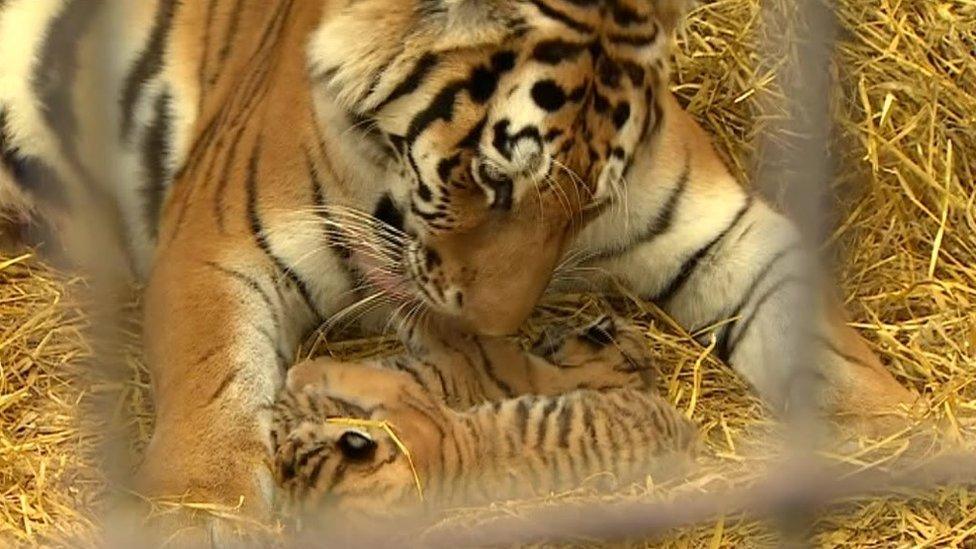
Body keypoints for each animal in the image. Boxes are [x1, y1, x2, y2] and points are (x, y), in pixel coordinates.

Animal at [0, 0, 916, 524]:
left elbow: (830, 351)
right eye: (491, 178)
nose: (495, 334)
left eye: (587, 206)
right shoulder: (219, 247)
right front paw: (201, 515)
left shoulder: (726, 228)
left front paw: (909, 440)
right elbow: (211, 394)